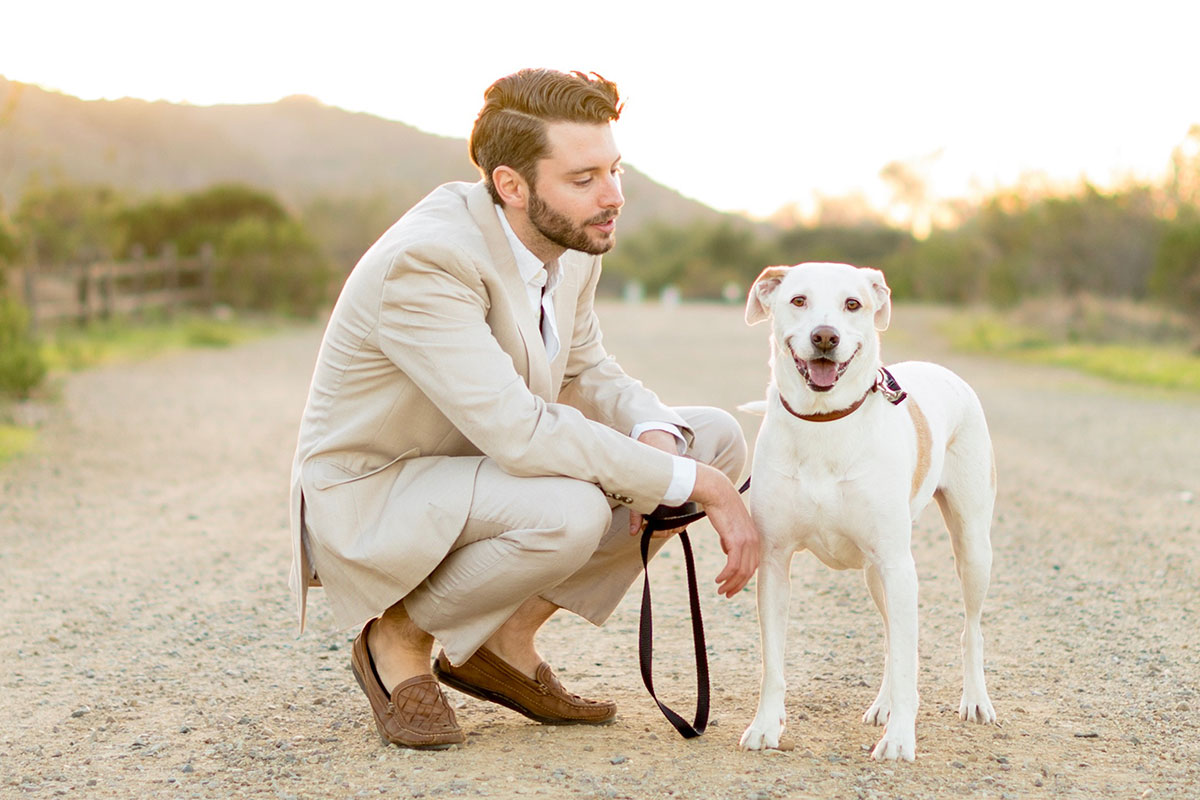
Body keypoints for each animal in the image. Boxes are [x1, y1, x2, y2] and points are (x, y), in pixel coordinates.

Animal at [734, 263, 998, 762]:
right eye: (798, 300)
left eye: (853, 304)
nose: (824, 336)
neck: (823, 422)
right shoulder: (774, 562)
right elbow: (772, 664)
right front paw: (765, 726)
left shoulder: (899, 565)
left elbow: (910, 664)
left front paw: (899, 739)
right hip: (877, 574)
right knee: (893, 637)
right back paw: (884, 704)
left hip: (970, 547)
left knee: (969, 630)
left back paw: (974, 699)